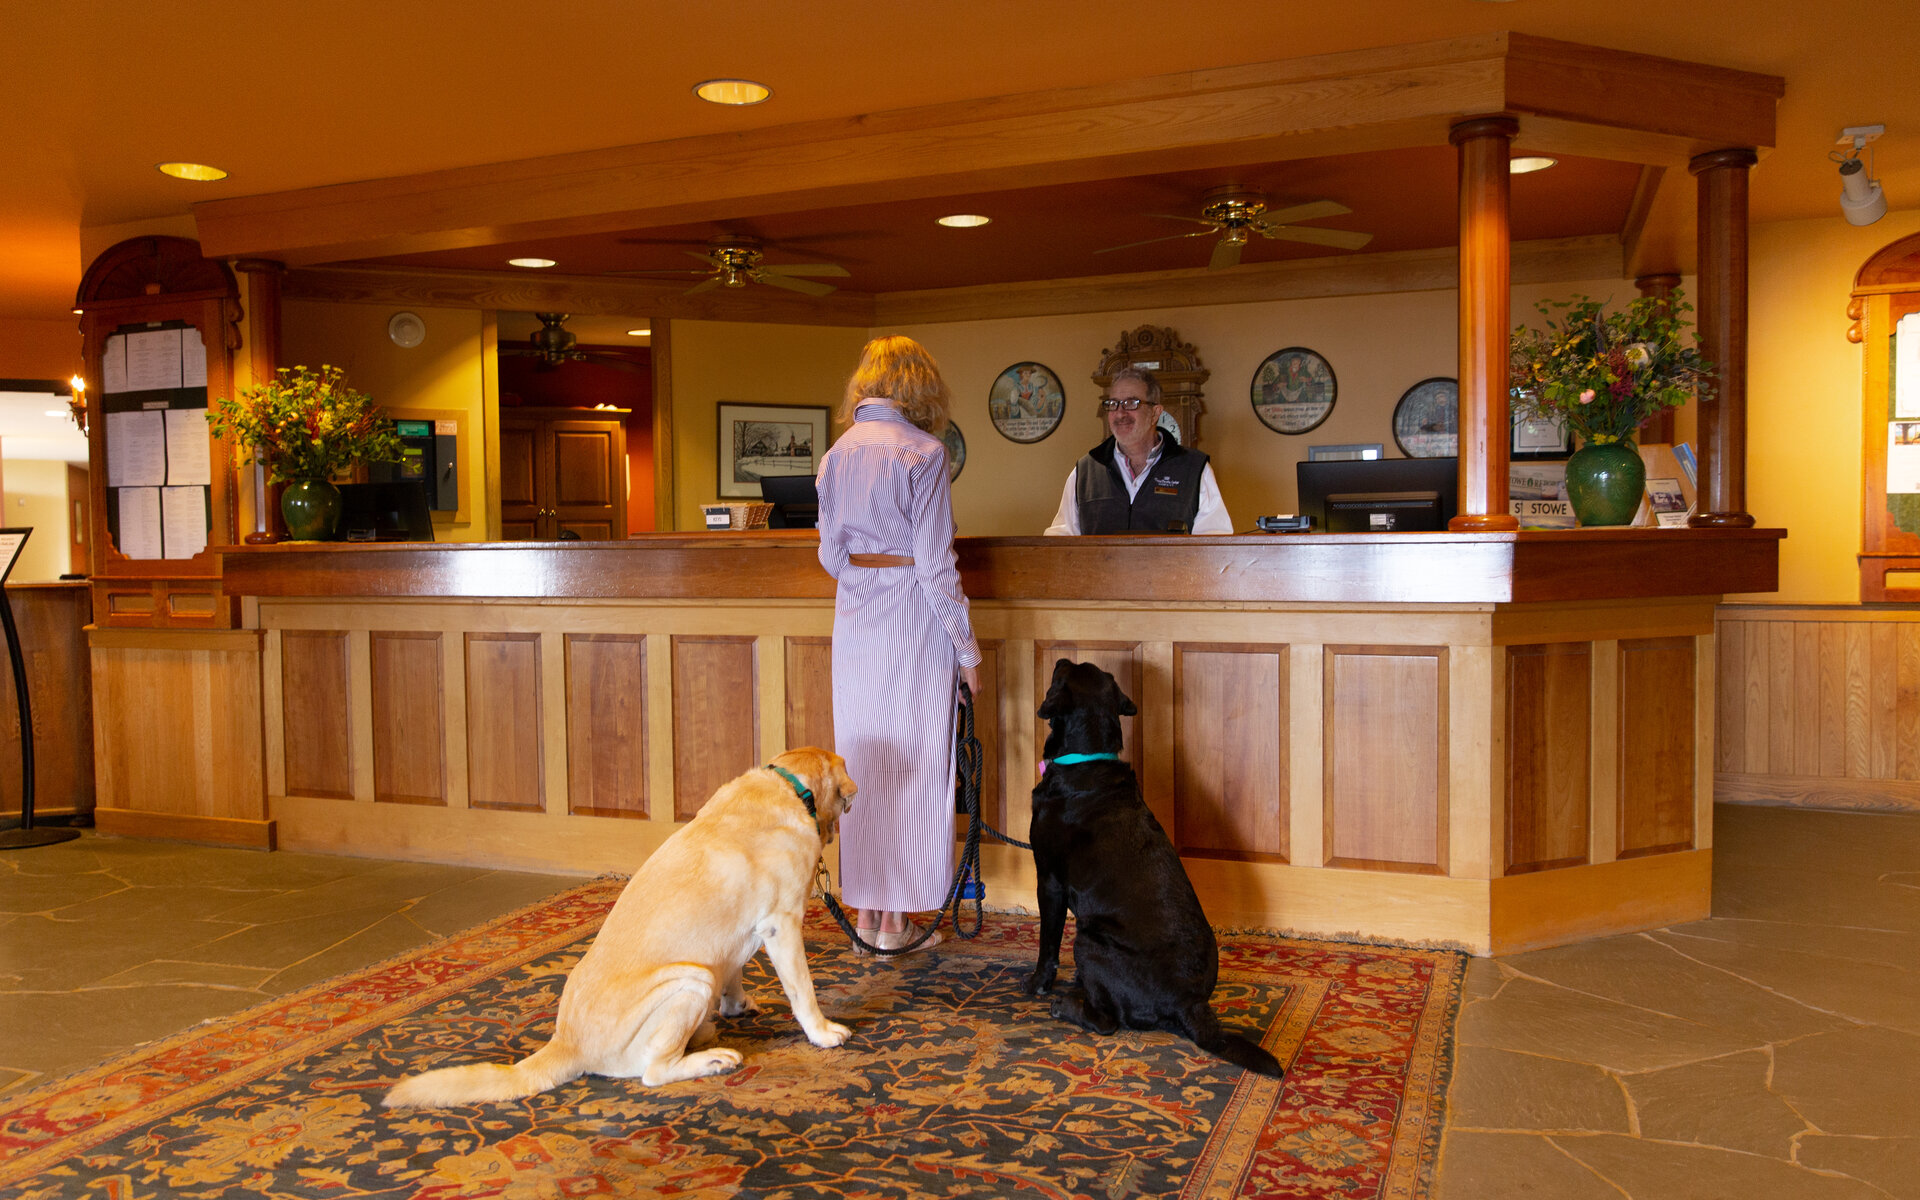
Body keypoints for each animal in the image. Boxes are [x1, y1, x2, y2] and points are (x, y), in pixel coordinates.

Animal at [382, 748, 856, 1105]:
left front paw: (737, 1005)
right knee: (654, 1072)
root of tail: (566, 1044)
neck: (789, 786)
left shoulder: (739, 937)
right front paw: (822, 1033)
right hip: (689, 981)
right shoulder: (782, 925)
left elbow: (734, 971)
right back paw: (712, 1059)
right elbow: (802, 991)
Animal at [1029, 656, 1282, 1075]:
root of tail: (1190, 1003)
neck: (1087, 758)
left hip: (1088, 938)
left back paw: (1066, 1005)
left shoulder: (1048, 881)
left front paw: (1035, 983)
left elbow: (1047, 945)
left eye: (1065, 672)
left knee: (1107, 1022)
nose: (1063, 658)